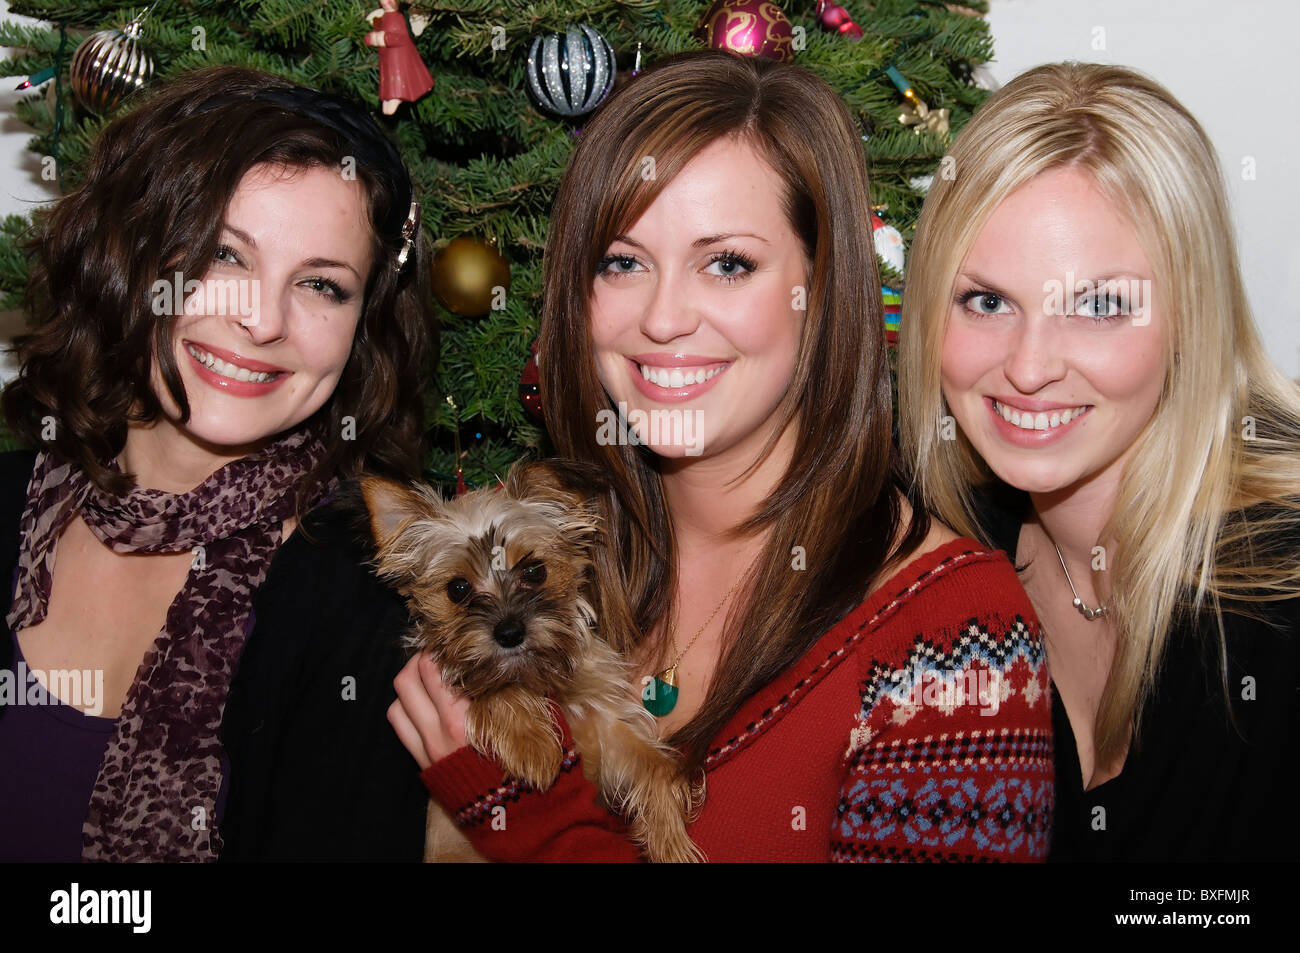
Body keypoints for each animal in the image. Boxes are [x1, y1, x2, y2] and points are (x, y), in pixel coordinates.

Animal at [358, 460, 702, 863]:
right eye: (457, 589)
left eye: (535, 570)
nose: (509, 633)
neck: (542, 675)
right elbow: (497, 687)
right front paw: (532, 746)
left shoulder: (608, 728)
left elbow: (660, 767)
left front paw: (671, 843)